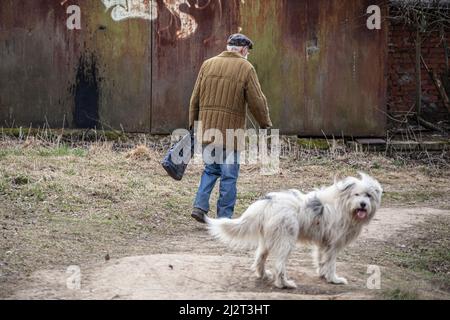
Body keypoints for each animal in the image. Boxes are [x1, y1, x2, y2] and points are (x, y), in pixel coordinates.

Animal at [206, 174, 382, 288]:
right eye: (357, 194)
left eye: (368, 195)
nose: (363, 204)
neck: (344, 206)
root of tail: (267, 203)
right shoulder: (333, 244)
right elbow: (331, 263)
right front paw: (334, 279)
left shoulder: (324, 242)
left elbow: (321, 260)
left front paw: (323, 275)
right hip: (286, 241)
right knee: (279, 266)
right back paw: (284, 284)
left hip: (268, 239)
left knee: (260, 258)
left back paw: (263, 275)